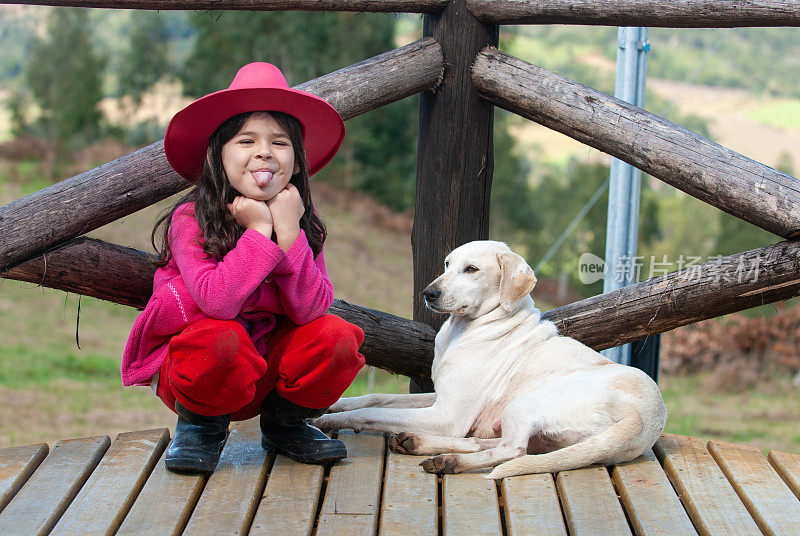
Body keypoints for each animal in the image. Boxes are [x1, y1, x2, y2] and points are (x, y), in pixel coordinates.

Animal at [316, 241, 664, 480]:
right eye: (447, 264)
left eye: (471, 269)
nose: (429, 292)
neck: (464, 329)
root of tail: (645, 417)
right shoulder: (439, 398)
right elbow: (376, 398)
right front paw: (334, 405)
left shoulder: (447, 416)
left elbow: (370, 413)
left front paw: (329, 421)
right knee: (491, 445)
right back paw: (419, 444)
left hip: (524, 405)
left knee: (511, 450)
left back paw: (448, 460)